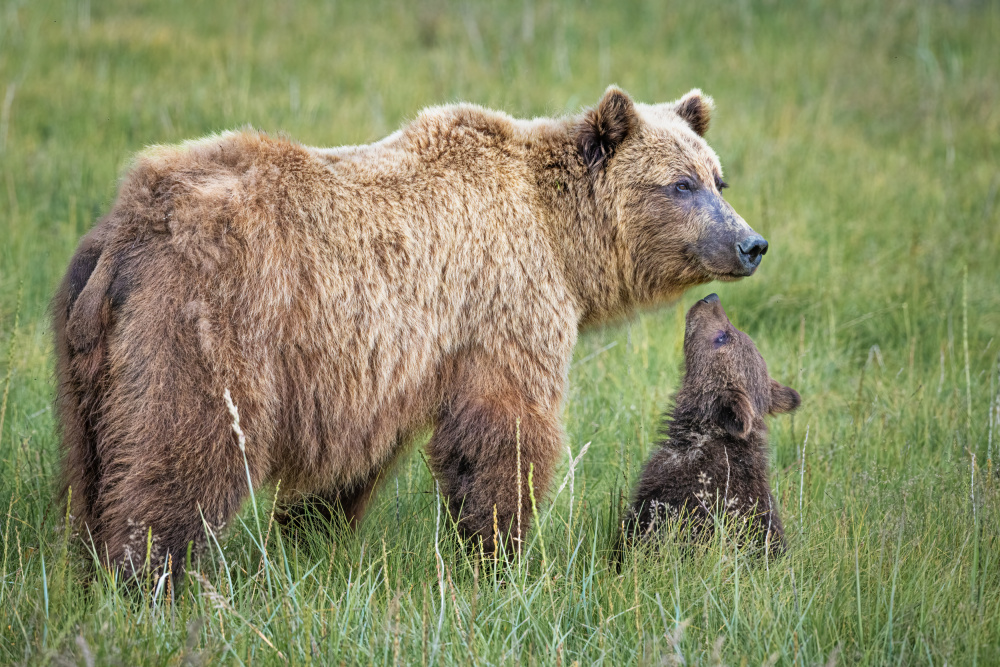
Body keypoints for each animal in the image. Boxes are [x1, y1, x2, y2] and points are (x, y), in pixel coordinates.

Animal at [52, 83, 764, 576]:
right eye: (679, 184)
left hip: (87, 345)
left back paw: (88, 565)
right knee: (185, 450)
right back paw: (150, 574)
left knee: (92, 462)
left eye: (719, 178)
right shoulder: (501, 303)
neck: (563, 241)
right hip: (210, 326)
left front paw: (312, 536)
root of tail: (133, 224)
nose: (750, 243)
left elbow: (354, 466)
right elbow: (502, 429)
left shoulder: (384, 365)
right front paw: (501, 553)